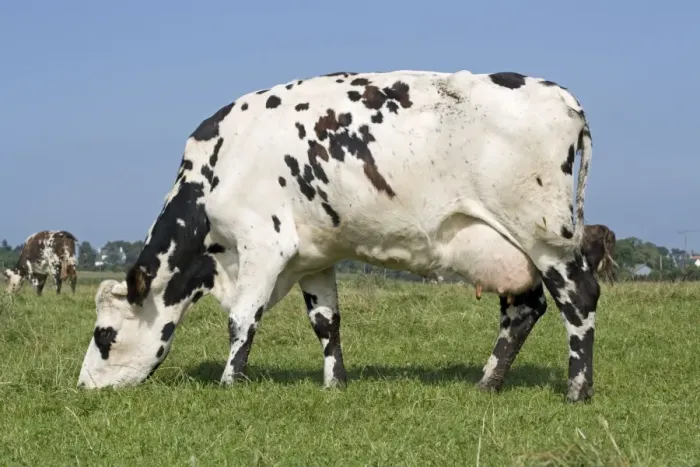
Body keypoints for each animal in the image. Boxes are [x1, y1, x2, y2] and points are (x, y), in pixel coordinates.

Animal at [78, 69, 600, 403]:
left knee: (578, 297)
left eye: (104, 334)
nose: (82, 387)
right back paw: (487, 384)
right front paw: (335, 384)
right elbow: (326, 322)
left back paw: (577, 391)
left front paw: (229, 384)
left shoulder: (264, 243)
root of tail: (561, 95)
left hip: (545, 235)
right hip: (509, 246)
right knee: (523, 308)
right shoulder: (314, 255)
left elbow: (242, 319)